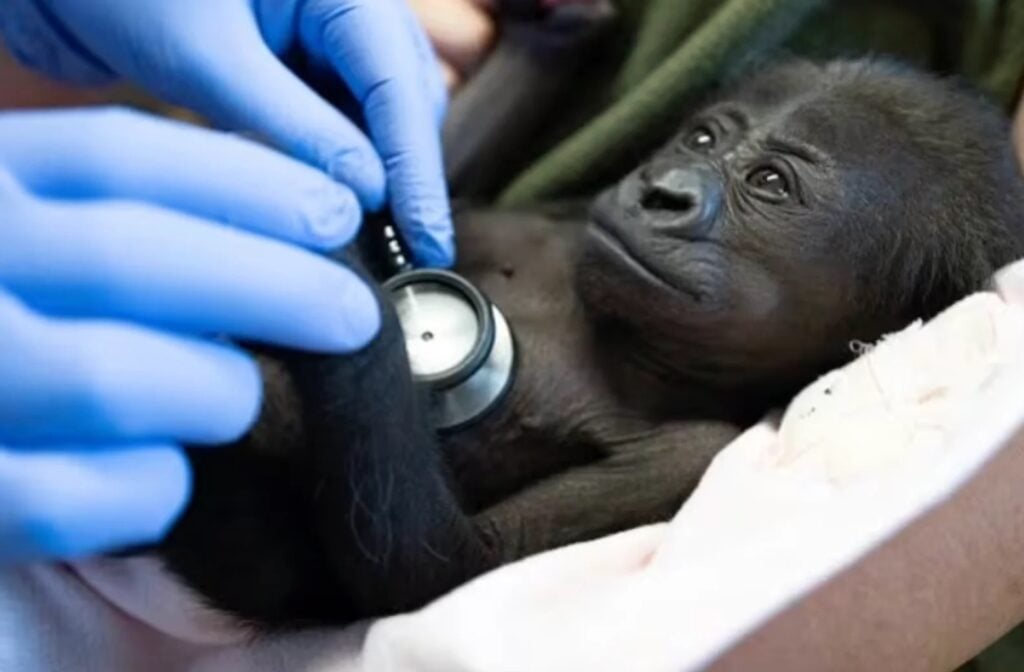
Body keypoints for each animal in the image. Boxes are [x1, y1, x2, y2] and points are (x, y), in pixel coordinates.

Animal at [152, 56, 1024, 631]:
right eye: (703, 140)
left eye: (770, 184)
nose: (662, 192)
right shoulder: (550, 214)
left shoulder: (688, 458)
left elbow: (440, 570)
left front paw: (339, 284)